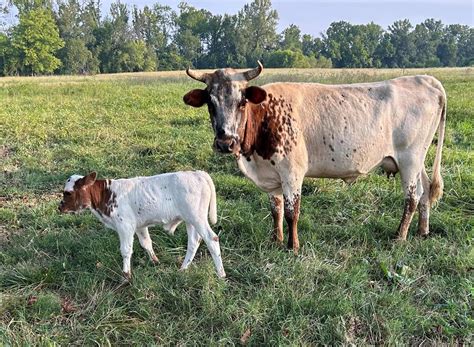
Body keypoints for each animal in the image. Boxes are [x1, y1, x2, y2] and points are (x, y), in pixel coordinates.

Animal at [59, 171, 226, 280]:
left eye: (68, 193)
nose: (59, 207)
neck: (106, 195)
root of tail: (198, 173)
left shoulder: (125, 226)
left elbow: (126, 251)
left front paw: (126, 276)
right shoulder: (139, 226)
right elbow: (146, 243)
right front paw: (155, 261)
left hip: (197, 217)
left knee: (211, 239)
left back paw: (221, 274)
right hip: (190, 220)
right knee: (193, 242)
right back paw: (183, 269)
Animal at [183, 61, 446, 253]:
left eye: (242, 101)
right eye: (210, 103)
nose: (225, 142)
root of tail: (425, 79)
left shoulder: (292, 172)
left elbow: (292, 211)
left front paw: (293, 246)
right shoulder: (272, 175)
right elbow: (276, 209)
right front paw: (276, 240)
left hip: (410, 158)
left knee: (413, 197)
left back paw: (399, 236)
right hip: (418, 160)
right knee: (425, 191)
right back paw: (422, 231)